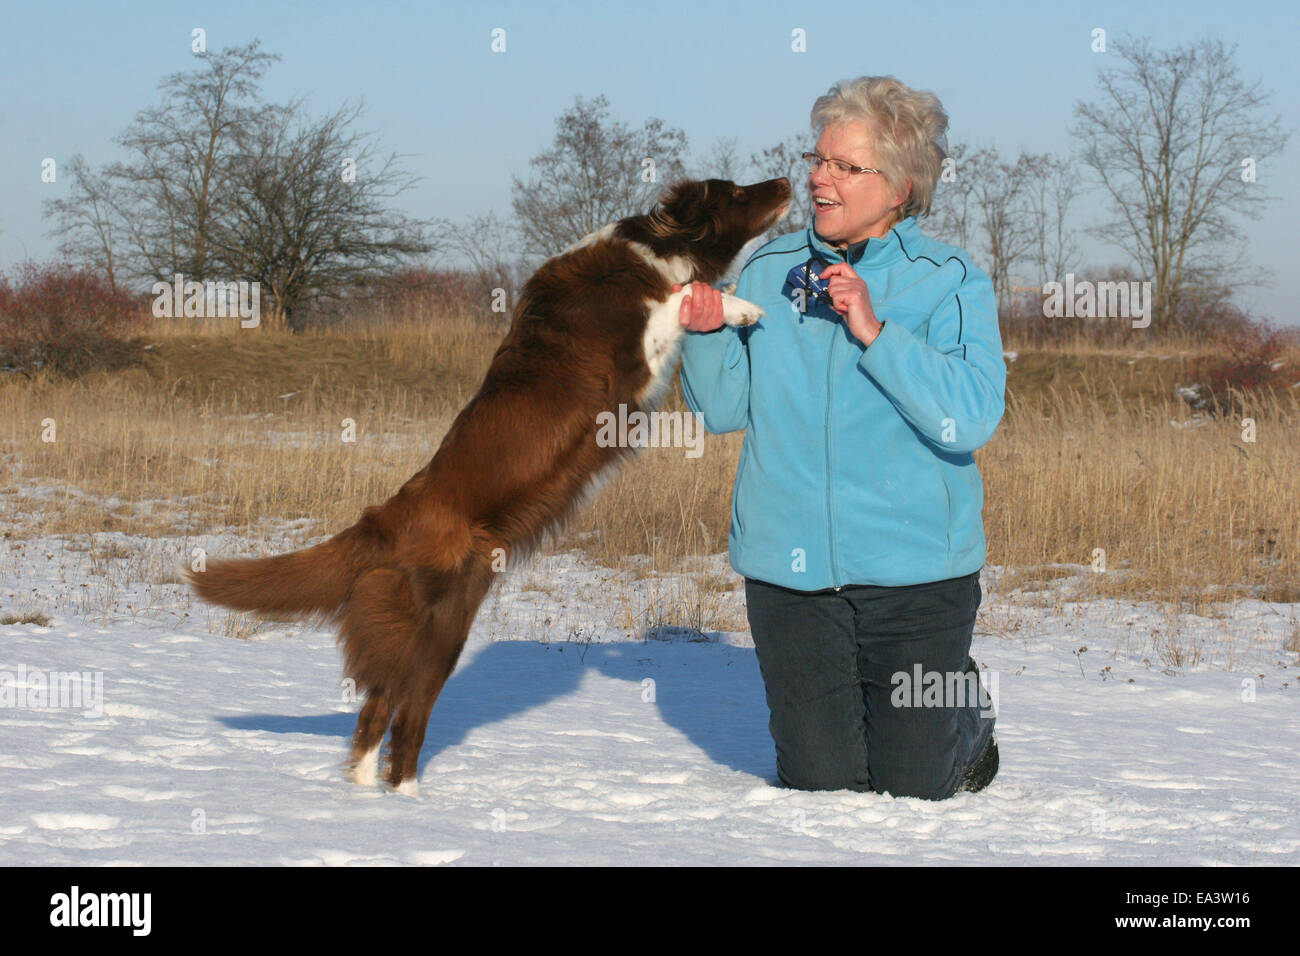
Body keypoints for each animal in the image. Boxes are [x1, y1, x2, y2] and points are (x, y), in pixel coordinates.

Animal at [184, 175, 790, 796]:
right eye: (736, 193)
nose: (787, 180)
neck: (653, 250)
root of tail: (390, 517)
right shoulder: (634, 357)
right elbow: (678, 300)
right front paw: (740, 305)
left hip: (445, 626)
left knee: (381, 714)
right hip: (432, 634)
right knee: (396, 713)